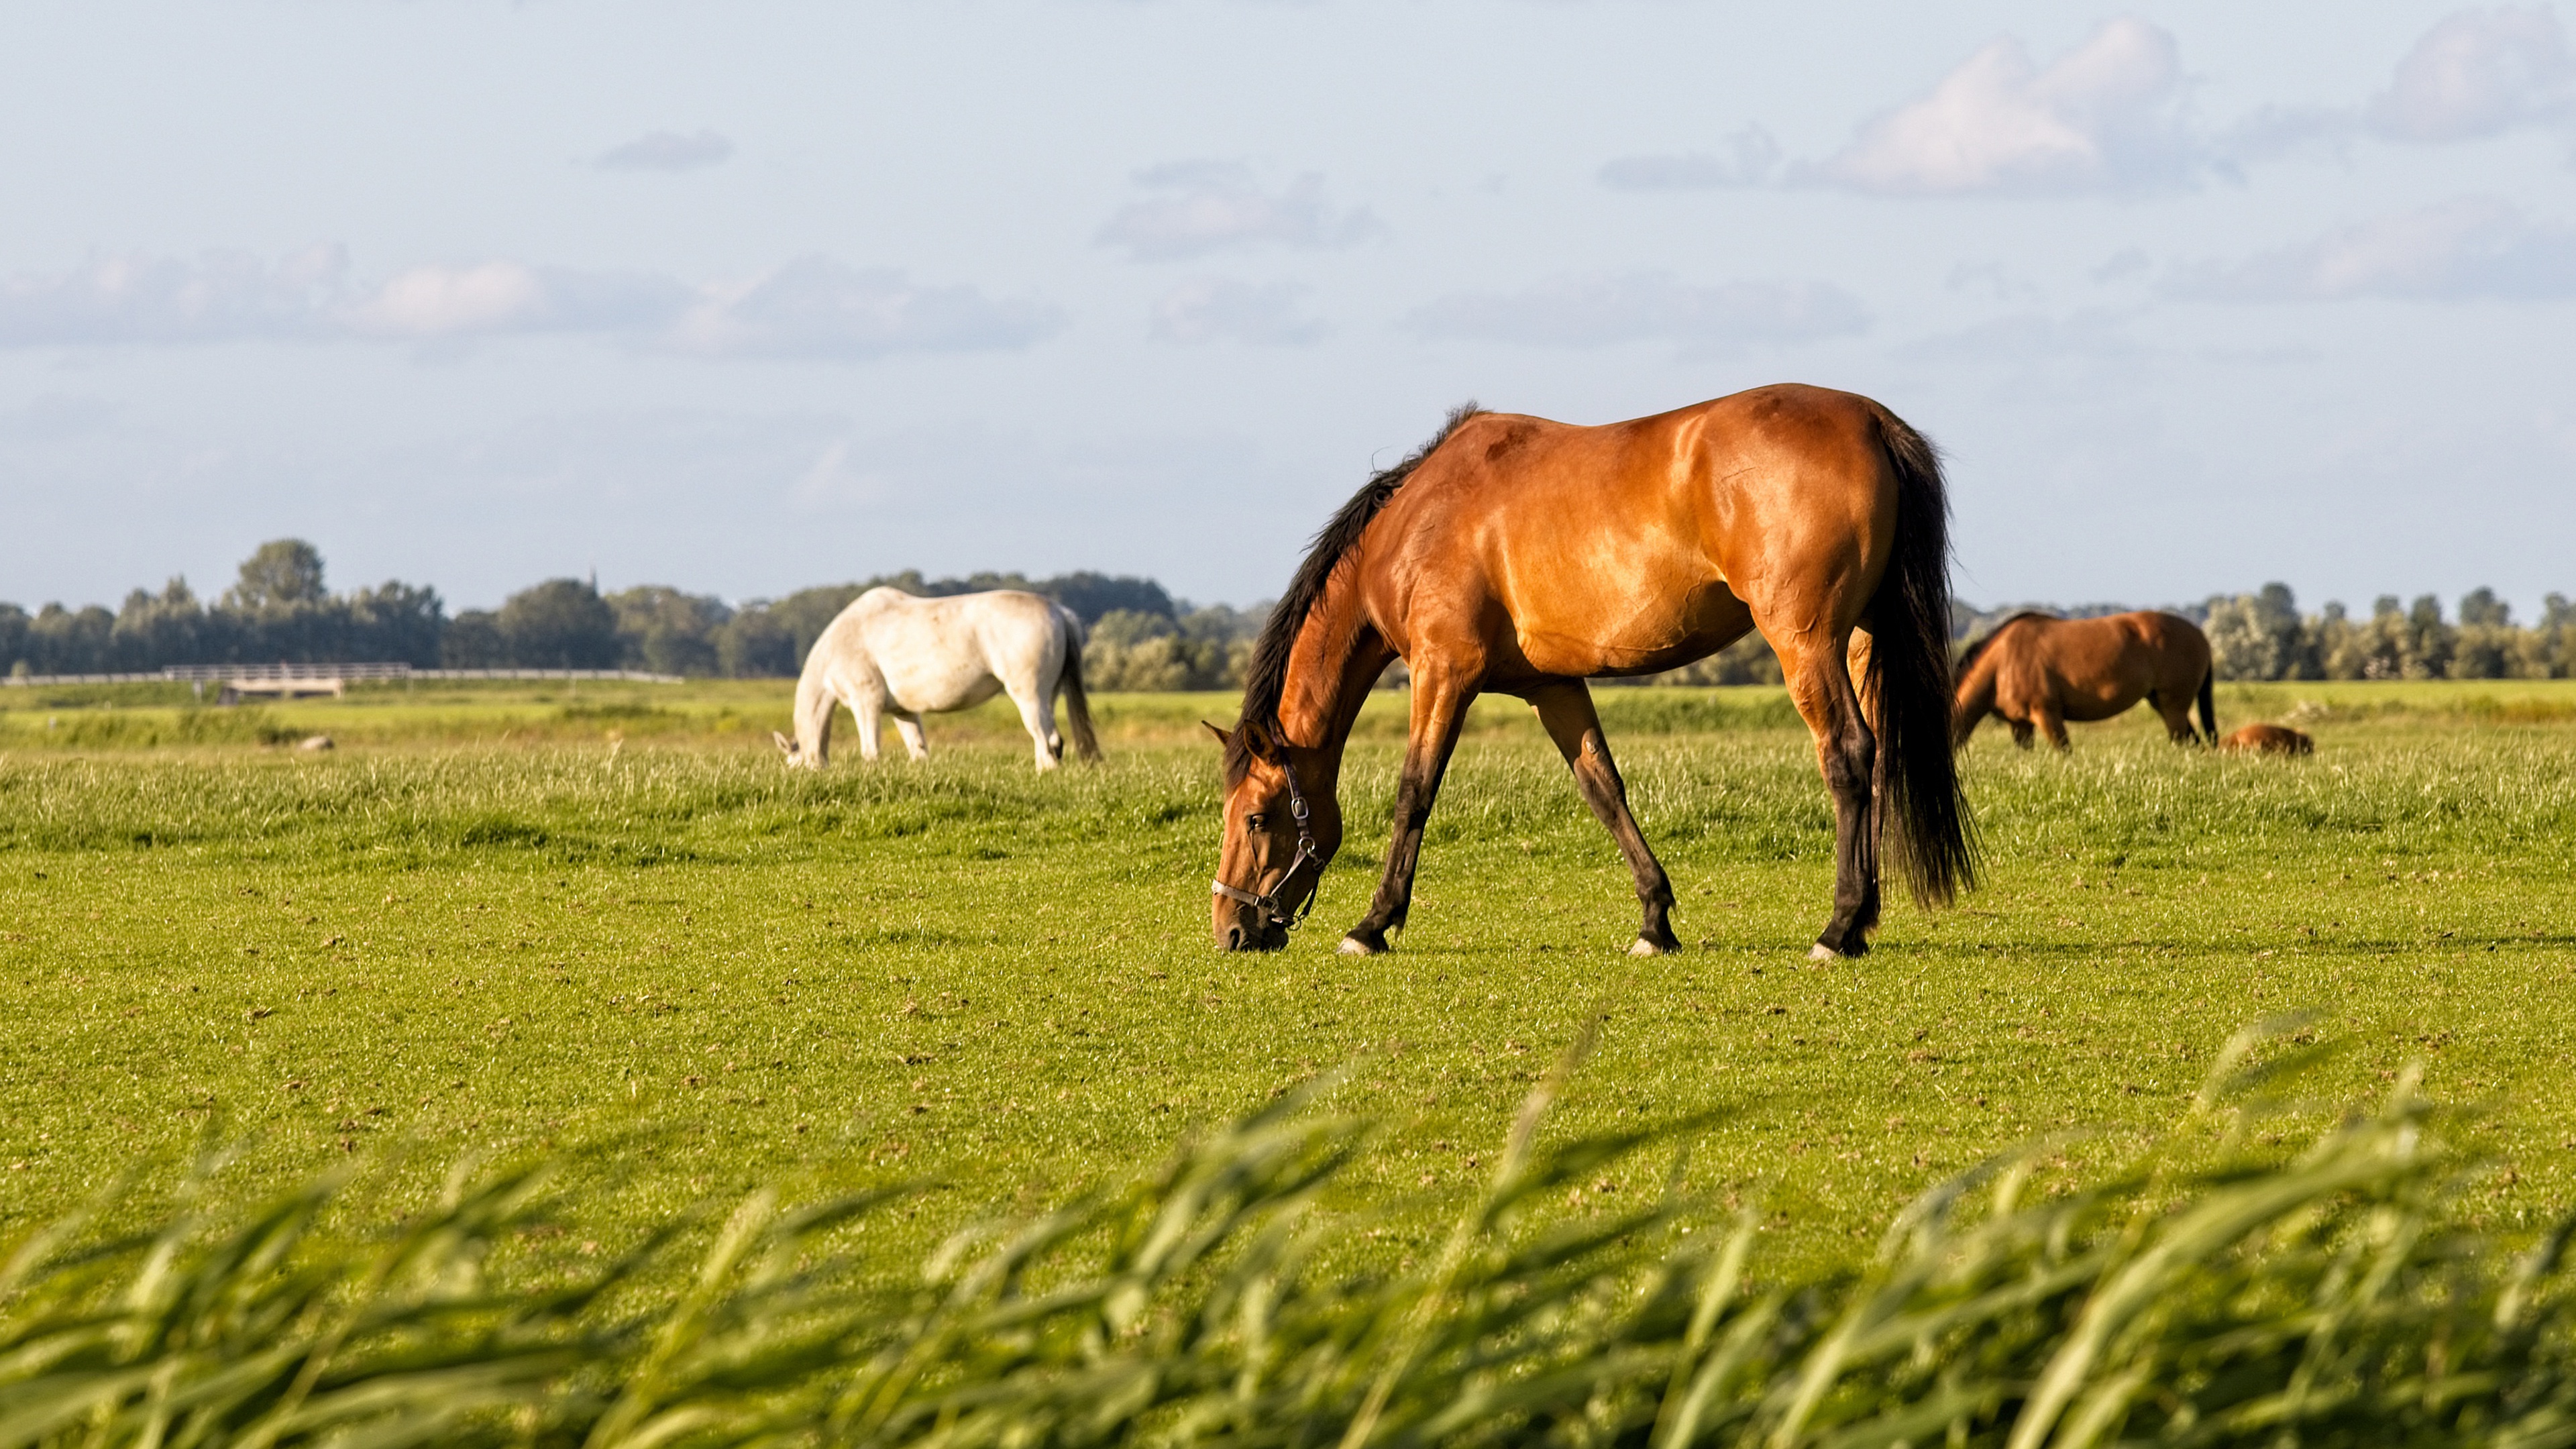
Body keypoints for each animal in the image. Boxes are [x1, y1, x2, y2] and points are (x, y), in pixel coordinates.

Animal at [774, 588, 1099, 771]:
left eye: (793, 767)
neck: (840, 645)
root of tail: (1058, 611)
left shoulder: (865, 703)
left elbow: (870, 751)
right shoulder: (904, 712)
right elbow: (918, 750)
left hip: (1029, 697)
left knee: (1044, 739)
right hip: (1049, 696)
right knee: (1052, 740)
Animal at [1206, 384, 1975, 963]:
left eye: (1255, 817)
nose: (1233, 931)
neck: (1417, 523)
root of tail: (1872, 421)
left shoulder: (1443, 673)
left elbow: (1414, 793)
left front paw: (1372, 926)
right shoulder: (1552, 686)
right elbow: (1604, 790)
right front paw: (1655, 922)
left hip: (1806, 643)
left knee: (1847, 755)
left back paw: (1838, 929)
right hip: (1863, 642)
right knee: (1878, 763)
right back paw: (1862, 922)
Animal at [1951, 612, 2213, 750]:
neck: (2004, 662)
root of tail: (2200, 634)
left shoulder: (2047, 715)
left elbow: (2064, 752)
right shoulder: (2020, 725)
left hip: (2173, 706)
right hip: (2160, 703)